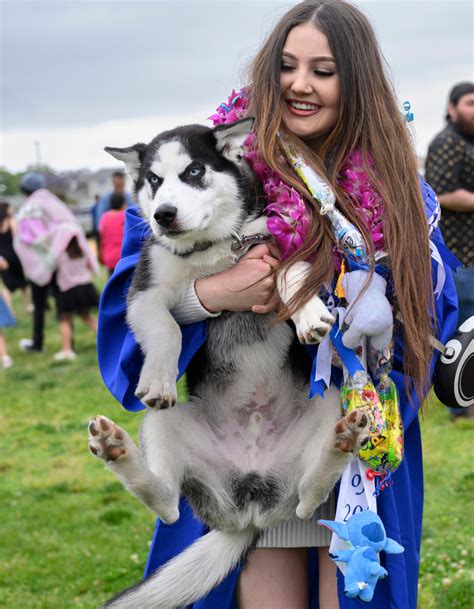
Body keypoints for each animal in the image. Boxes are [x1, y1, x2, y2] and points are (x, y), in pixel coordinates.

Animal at [90, 119, 370, 608]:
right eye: (153, 180)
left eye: (194, 171)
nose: (163, 215)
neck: (213, 249)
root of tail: (251, 512)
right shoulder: (145, 293)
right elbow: (168, 328)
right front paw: (159, 377)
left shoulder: (273, 244)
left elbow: (290, 274)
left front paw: (310, 314)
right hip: (163, 426)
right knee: (167, 504)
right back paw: (116, 448)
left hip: (328, 399)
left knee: (306, 497)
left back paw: (342, 442)